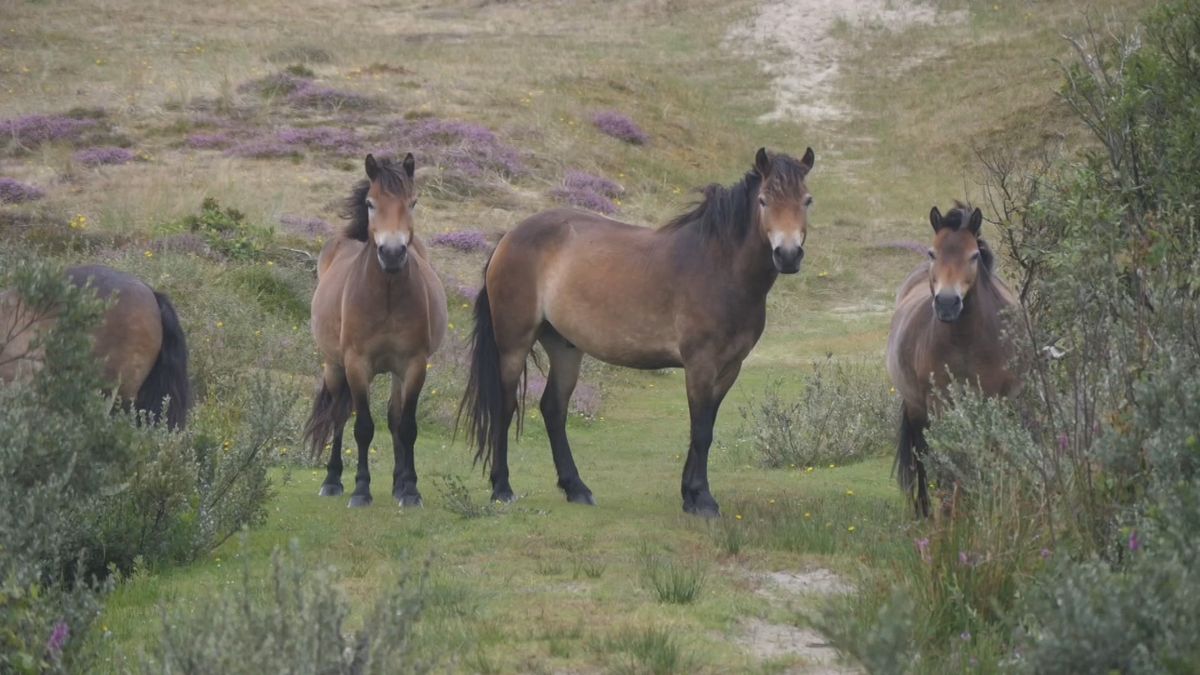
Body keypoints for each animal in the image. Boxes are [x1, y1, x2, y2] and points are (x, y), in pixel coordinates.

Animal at [303, 153, 448, 508]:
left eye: (413, 202)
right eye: (370, 203)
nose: (392, 253)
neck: (387, 297)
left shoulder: (413, 365)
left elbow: (406, 425)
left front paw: (410, 490)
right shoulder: (357, 365)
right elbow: (363, 427)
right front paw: (360, 490)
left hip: (395, 372)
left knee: (394, 417)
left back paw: (398, 483)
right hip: (334, 366)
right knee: (338, 417)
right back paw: (332, 481)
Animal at [458, 146, 815, 517]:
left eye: (807, 200)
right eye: (763, 200)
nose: (788, 255)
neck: (719, 266)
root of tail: (508, 238)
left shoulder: (730, 367)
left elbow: (703, 429)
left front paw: (689, 495)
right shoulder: (701, 365)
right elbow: (701, 430)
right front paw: (701, 498)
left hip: (565, 347)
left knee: (553, 409)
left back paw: (576, 488)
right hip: (513, 344)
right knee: (506, 406)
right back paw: (502, 488)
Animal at [885, 202, 1018, 516]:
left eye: (973, 255)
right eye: (933, 253)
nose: (947, 303)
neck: (966, 341)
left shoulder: (995, 399)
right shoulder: (940, 403)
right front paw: (953, 509)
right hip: (917, 408)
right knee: (921, 453)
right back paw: (924, 510)